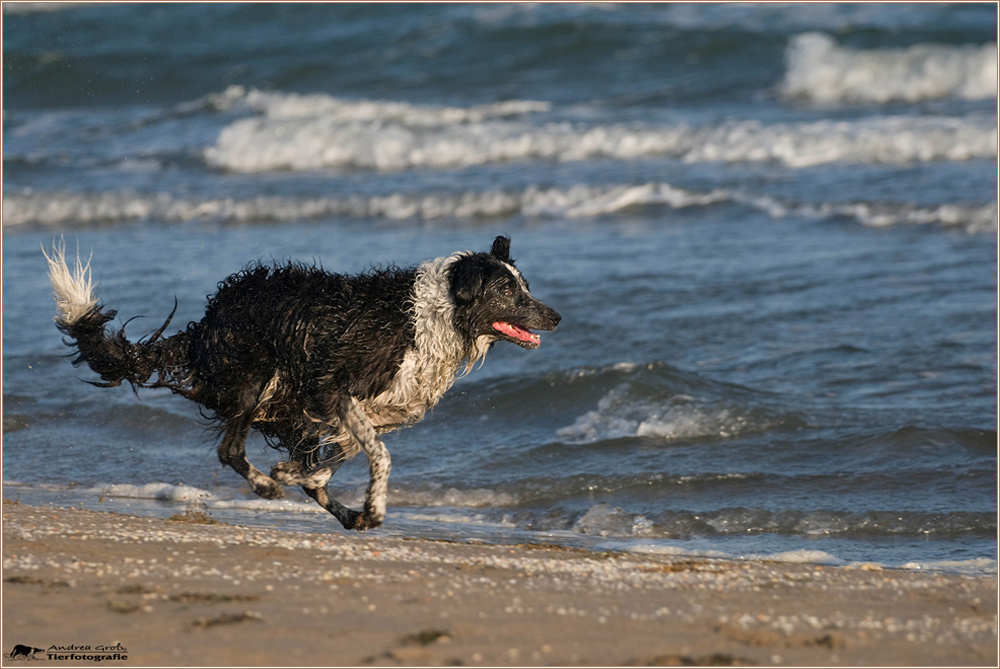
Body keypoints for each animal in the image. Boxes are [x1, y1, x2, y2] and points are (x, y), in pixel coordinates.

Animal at [45, 235, 564, 528]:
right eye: (508, 290)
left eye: (525, 285)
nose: (557, 316)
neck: (435, 317)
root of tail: (206, 323)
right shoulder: (333, 388)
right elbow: (378, 454)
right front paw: (367, 501)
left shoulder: (372, 410)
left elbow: (337, 460)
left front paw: (308, 477)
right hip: (255, 378)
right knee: (229, 449)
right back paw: (265, 486)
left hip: (281, 405)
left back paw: (341, 510)